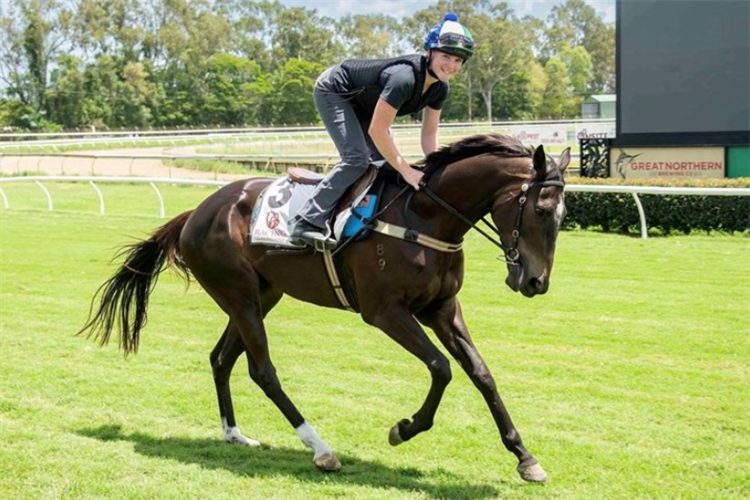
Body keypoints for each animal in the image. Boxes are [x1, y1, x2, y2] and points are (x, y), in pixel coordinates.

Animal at [79, 132, 568, 480]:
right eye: (541, 211)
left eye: (564, 216)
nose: (536, 282)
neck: (425, 216)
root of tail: (195, 213)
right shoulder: (384, 311)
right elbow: (441, 368)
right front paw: (404, 428)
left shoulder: (443, 308)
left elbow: (481, 373)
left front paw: (525, 457)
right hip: (239, 295)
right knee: (262, 370)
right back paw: (320, 449)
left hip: (260, 296)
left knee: (221, 359)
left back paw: (235, 434)